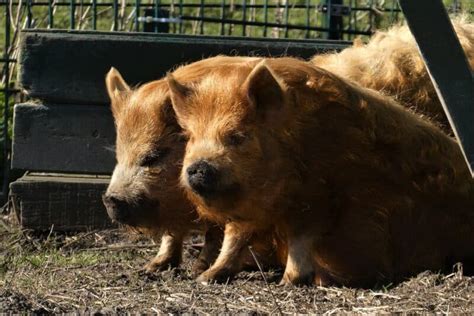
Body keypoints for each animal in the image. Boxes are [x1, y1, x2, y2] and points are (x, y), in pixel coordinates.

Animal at [168, 56, 474, 286]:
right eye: (191, 137)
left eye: (237, 136)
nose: (197, 168)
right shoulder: (251, 210)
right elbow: (233, 239)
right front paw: (205, 278)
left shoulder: (318, 199)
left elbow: (301, 240)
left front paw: (291, 282)